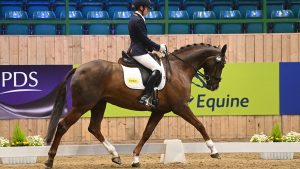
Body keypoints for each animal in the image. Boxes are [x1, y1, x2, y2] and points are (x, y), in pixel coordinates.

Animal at [44, 42, 227, 168]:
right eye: (221, 63)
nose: (214, 85)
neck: (179, 69)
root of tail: (79, 68)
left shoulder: (159, 111)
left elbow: (147, 133)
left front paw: (135, 159)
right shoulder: (180, 107)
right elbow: (200, 124)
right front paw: (214, 151)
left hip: (99, 104)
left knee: (94, 128)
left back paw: (115, 155)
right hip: (83, 105)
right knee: (63, 126)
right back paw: (50, 159)